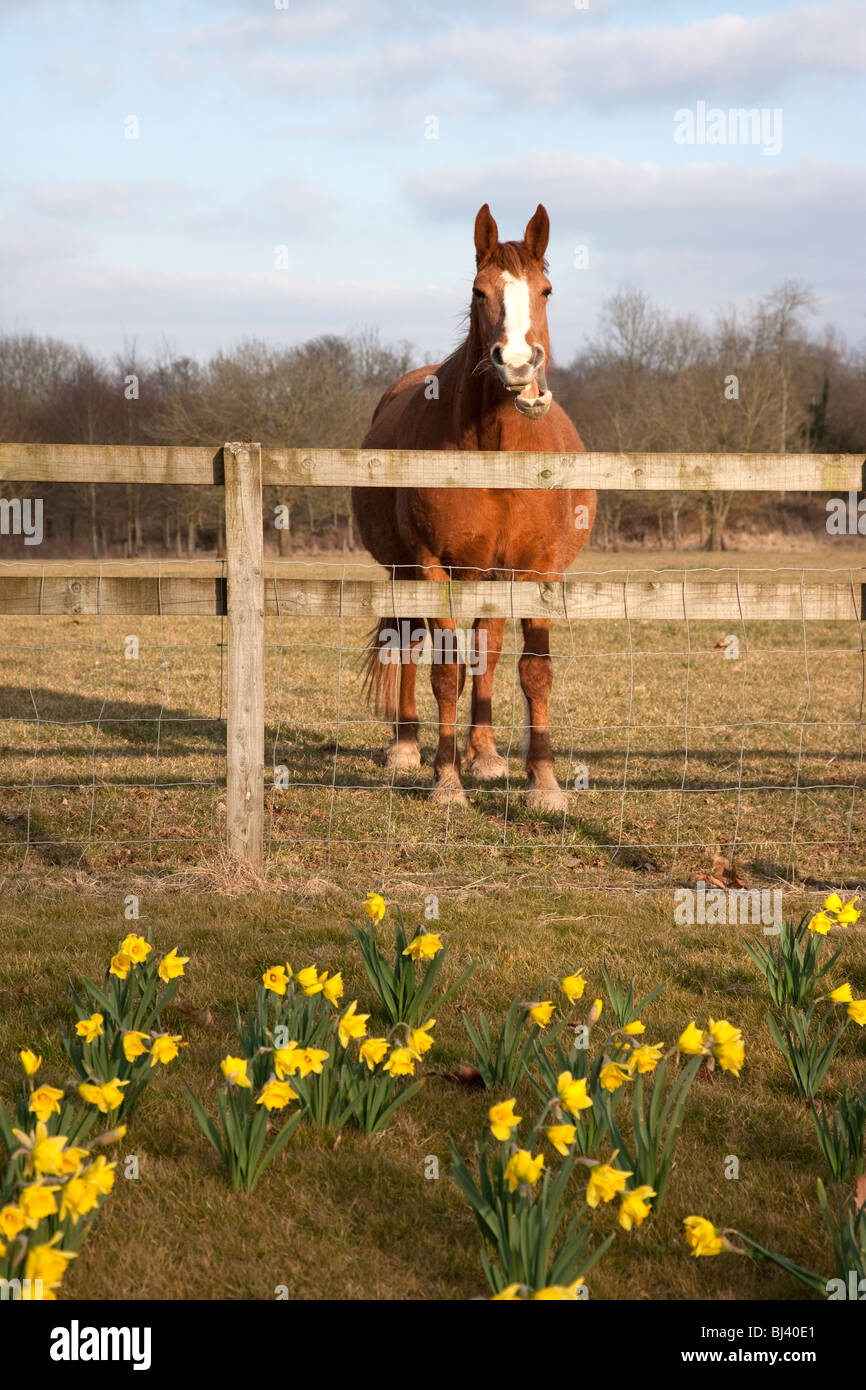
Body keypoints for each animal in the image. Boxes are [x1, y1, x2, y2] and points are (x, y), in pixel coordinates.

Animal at [353, 207, 594, 811]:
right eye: (478, 291)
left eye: (546, 291)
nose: (518, 365)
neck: (496, 454)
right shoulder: (431, 567)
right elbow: (444, 672)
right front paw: (446, 780)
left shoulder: (536, 571)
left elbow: (533, 672)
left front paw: (544, 783)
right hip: (406, 574)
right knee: (410, 644)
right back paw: (407, 746)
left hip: (493, 577)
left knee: (487, 650)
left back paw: (484, 753)